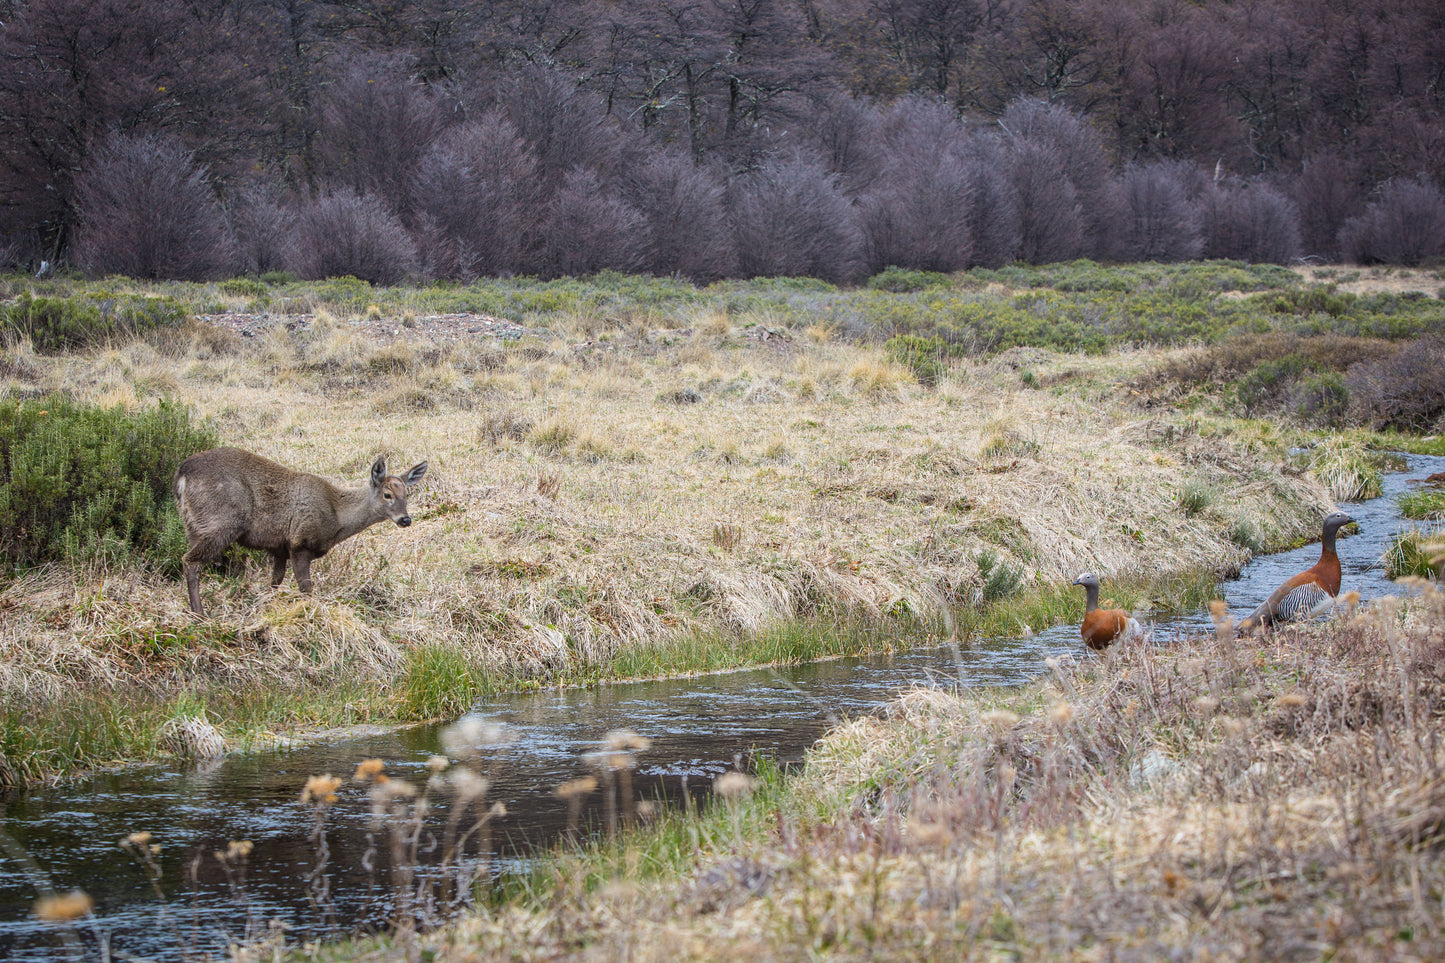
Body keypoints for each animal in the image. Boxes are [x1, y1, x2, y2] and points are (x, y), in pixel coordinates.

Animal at [171, 445, 424, 615]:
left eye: (406, 494)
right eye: (387, 494)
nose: (405, 519)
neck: (336, 517)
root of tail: (181, 474)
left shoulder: (278, 548)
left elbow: (274, 583)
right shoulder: (299, 543)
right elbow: (306, 589)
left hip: (194, 525)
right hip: (220, 522)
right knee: (190, 560)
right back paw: (199, 613)